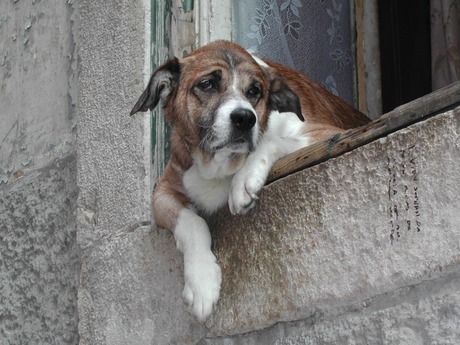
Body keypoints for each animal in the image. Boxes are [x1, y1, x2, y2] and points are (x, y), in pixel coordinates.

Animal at [129, 40, 370, 320]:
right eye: (207, 84)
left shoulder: (332, 134)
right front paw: (202, 282)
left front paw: (244, 181)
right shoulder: (164, 189)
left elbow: (272, 140)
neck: (221, 165)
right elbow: (191, 222)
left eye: (255, 91)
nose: (245, 118)